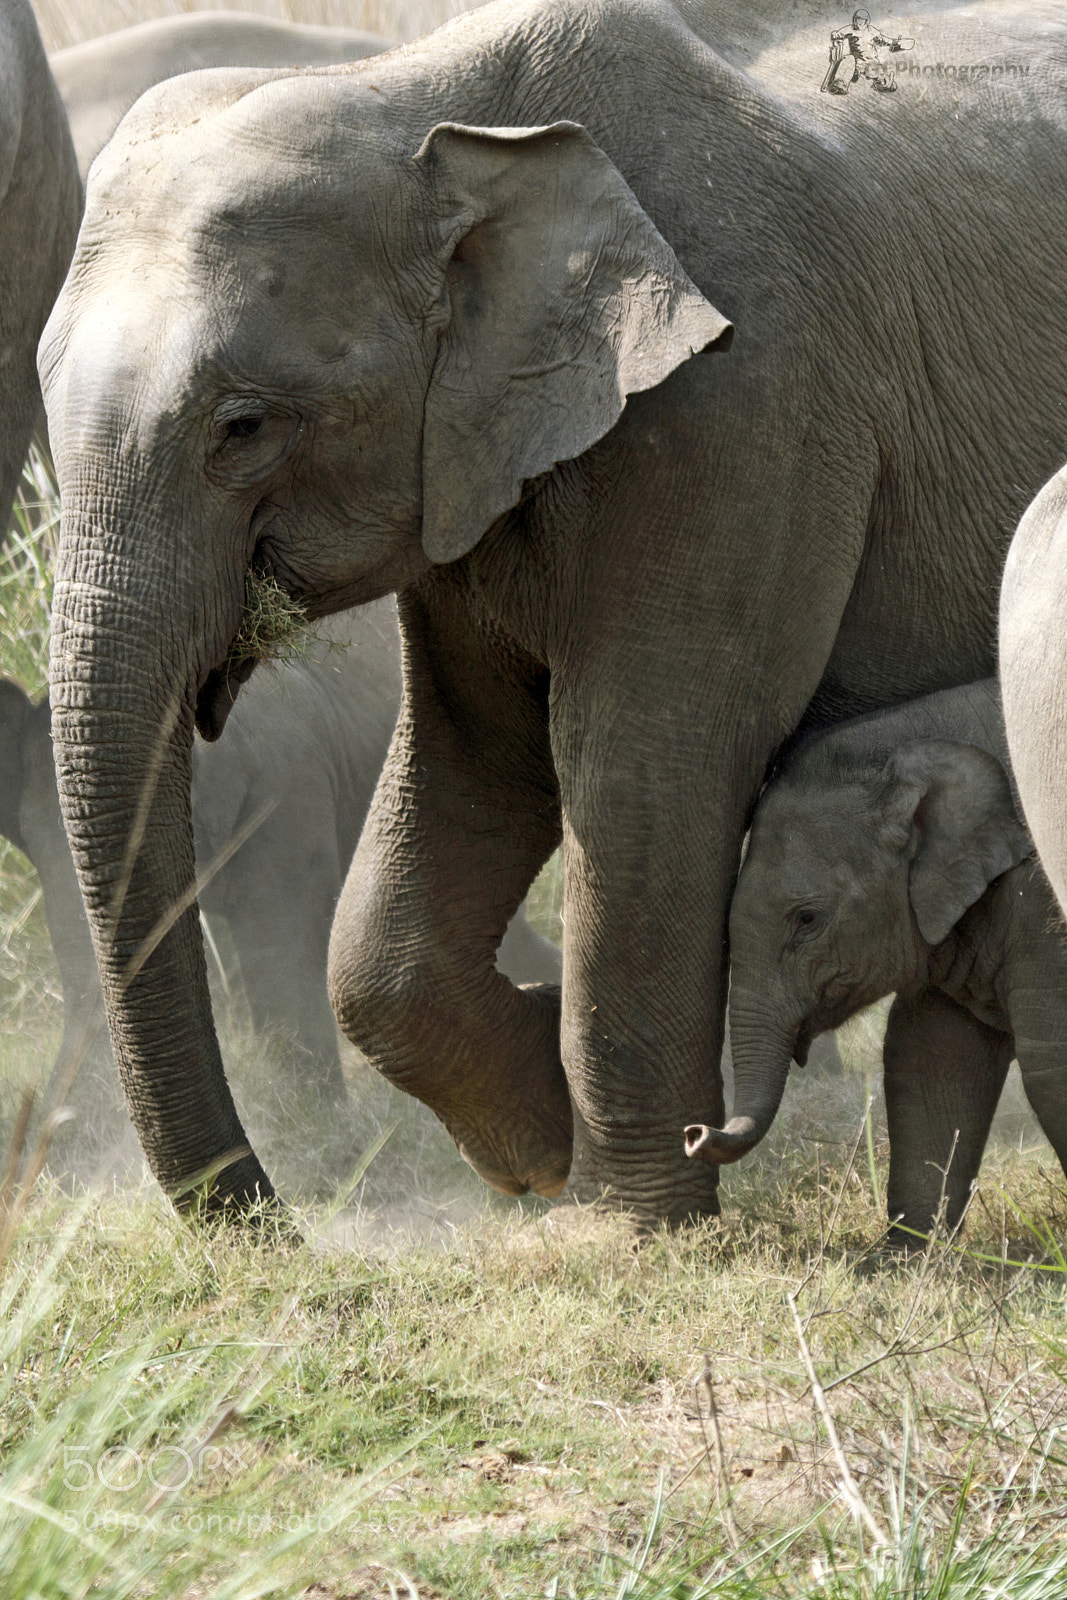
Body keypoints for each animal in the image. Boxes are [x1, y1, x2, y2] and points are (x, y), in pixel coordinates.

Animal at [685, 679, 1067, 1244]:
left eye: (807, 919)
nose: (694, 1132)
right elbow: (930, 1056)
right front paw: (907, 1254)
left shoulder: (1043, 909)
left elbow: (1051, 1061)